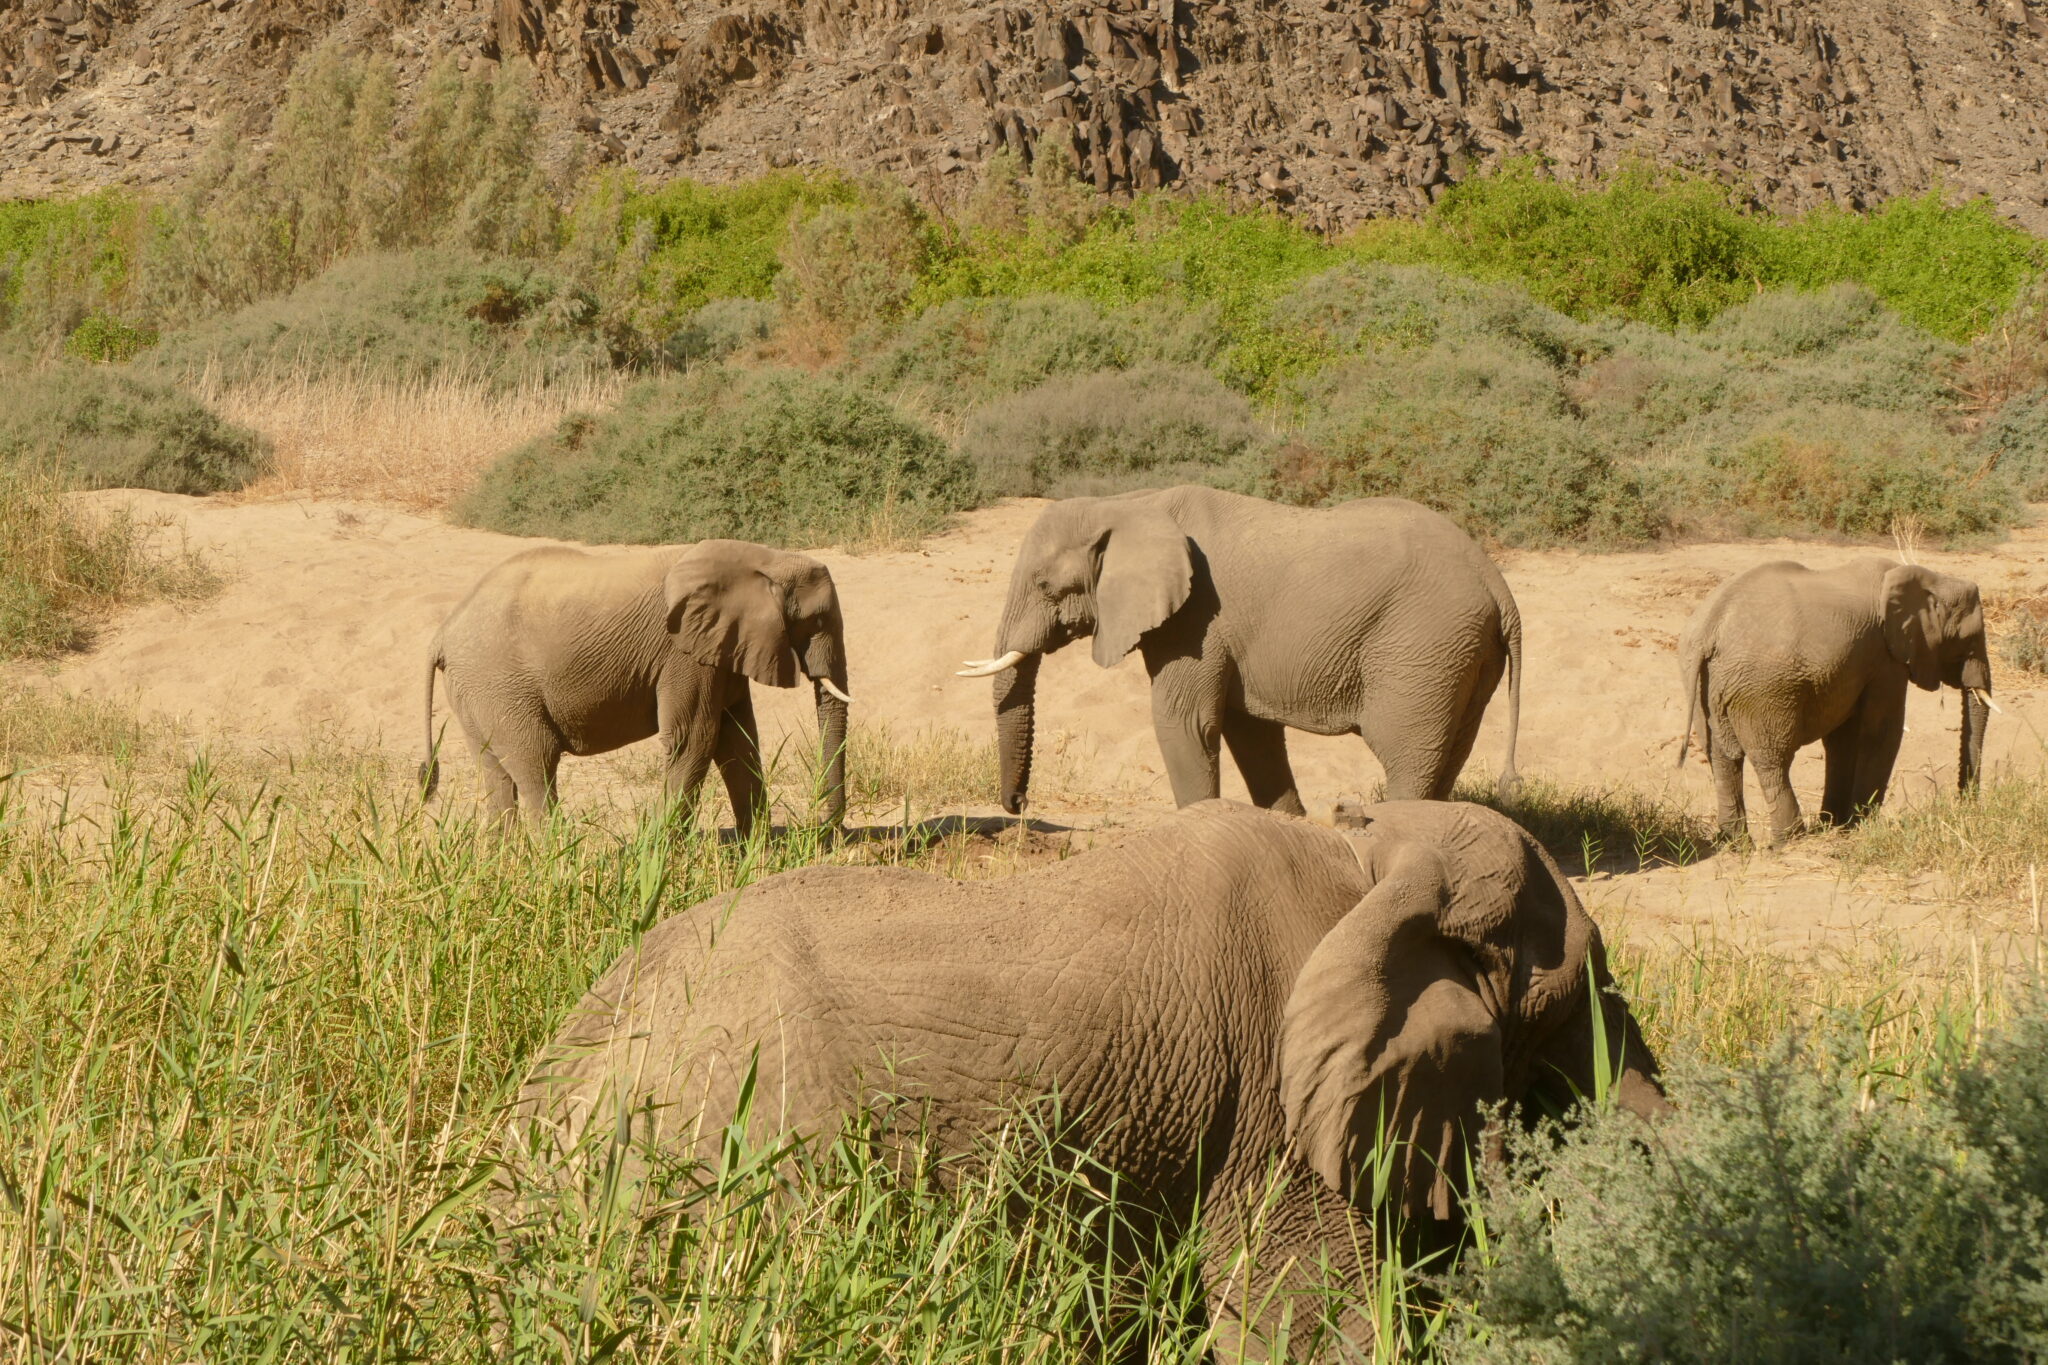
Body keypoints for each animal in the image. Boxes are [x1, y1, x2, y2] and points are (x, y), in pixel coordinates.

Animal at [419, 540, 851, 834]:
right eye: (817, 620)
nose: (826, 827)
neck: (762, 558)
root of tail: (442, 634)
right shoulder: (683, 653)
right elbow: (695, 738)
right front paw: (662, 851)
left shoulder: (721, 648)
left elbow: (738, 740)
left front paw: (757, 852)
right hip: (499, 685)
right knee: (535, 764)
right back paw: (554, 861)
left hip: (475, 692)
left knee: (495, 773)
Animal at [958, 485, 1523, 818]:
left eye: (1044, 585)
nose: (1018, 805)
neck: (1130, 502)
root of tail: (1500, 588)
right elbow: (1250, 732)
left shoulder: (1198, 619)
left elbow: (1186, 722)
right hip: (1462, 654)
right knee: (1449, 755)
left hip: (1424, 646)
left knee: (1407, 755)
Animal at [1671, 556, 1990, 843]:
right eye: (1970, 639)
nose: (1964, 805)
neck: (1932, 578)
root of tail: (1709, 627)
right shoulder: (1885, 658)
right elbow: (1881, 733)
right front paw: (1859, 826)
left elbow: (1843, 739)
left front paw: (1836, 825)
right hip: (1761, 691)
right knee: (1772, 761)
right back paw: (1790, 841)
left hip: (1705, 683)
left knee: (1722, 757)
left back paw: (1735, 844)